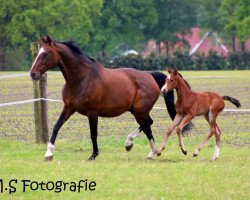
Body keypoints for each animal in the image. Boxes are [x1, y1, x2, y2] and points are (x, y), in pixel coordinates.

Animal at [29, 35, 189, 161]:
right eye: (38, 53)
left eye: (46, 53)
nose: (32, 74)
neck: (82, 78)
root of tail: (149, 75)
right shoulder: (68, 108)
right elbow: (56, 127)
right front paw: (48, 154)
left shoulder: (92, 113)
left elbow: (93, 133)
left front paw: (93, 155)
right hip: (136, 111)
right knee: (148, 123)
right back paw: (131, 144)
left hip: (140, 111)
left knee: (147, 126)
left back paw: (151, 151)